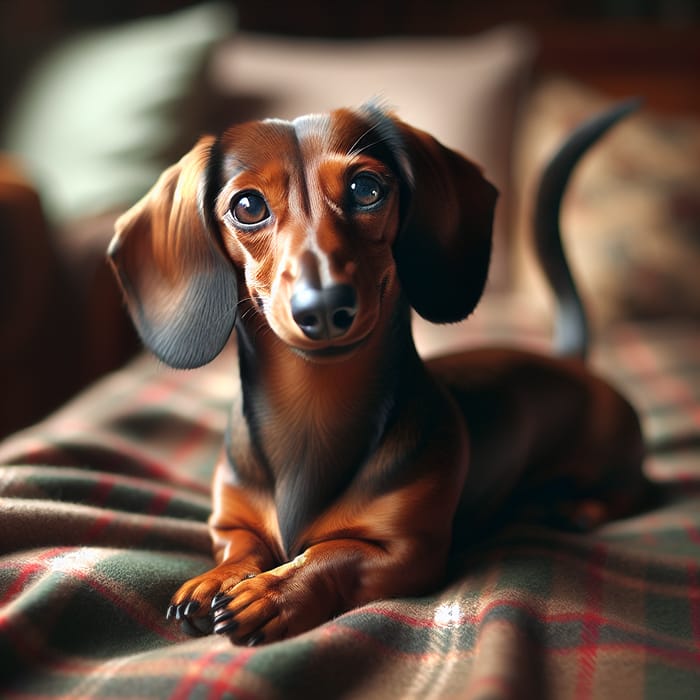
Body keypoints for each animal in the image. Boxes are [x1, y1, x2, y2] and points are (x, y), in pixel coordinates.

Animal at [108, 100, 652, 644]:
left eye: (365, 189)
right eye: (247, 206)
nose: (324, 307)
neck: (311, 411)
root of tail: (568, 359)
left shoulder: (407, 551)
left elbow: (329, 554)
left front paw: (270, 593)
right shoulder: (229, 523)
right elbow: (242, 547)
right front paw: (214, 580)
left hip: (611, 458)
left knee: (637, 489)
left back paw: (580, 508)